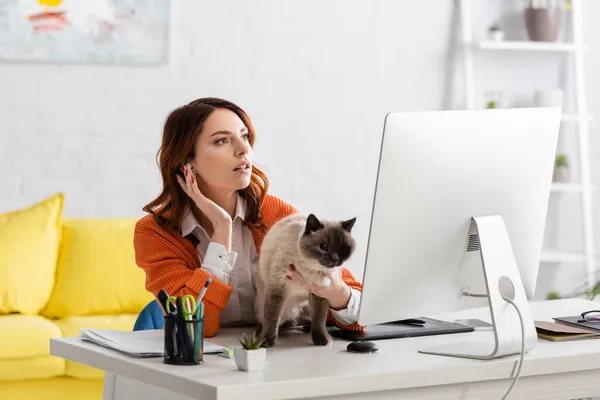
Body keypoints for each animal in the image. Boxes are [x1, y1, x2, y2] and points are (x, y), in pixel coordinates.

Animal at [254, 212, 356, 346]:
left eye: (343, 247)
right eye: (323, 247)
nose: (334, 259)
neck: (310, 269)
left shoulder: (320, 293)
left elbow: (319, 318)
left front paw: (321, 339)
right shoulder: (277, 288)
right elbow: (271, 317)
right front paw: (265, 341)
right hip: (264, 303)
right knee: (268, 319)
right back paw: (259, 333)